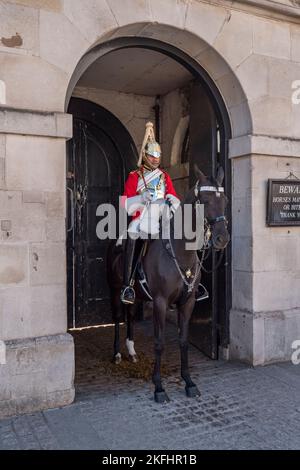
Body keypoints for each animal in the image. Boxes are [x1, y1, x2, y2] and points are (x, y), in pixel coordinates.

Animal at [106, 163, 231, 402]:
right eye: (205, 200)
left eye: (226, 200)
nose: (222, 239)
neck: (180, 252)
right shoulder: (160, 302)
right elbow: (159, 342)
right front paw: (158, 387)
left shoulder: (187, 302)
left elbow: (183, 339)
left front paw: (189, 382)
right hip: (116, 291)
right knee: (117, 318)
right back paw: (117, 353)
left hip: (137, 296)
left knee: (130, 317)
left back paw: (132, 352)